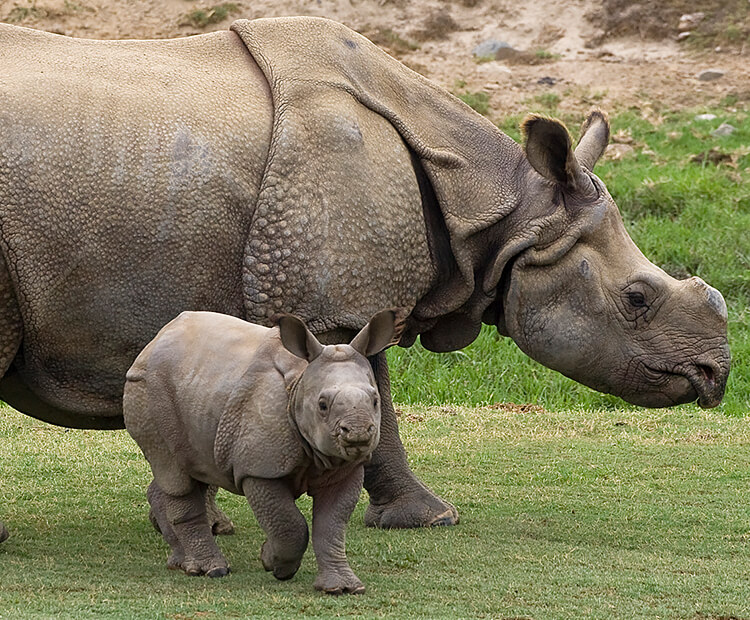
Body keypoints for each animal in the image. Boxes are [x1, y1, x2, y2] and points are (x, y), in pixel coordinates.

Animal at [125, 308, 406, 592]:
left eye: (375, 401)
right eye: (322, 405)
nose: (358, 432)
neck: (299, 384)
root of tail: (154, 342)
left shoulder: (344, 468)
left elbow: (332, 526)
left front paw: (342, 587)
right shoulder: (258, 469)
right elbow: (289, 524)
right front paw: (274, 562)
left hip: (197, 387)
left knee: (195, 470)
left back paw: (180, 563)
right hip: (147, 388)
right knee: (175, 474)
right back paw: (212, 571)